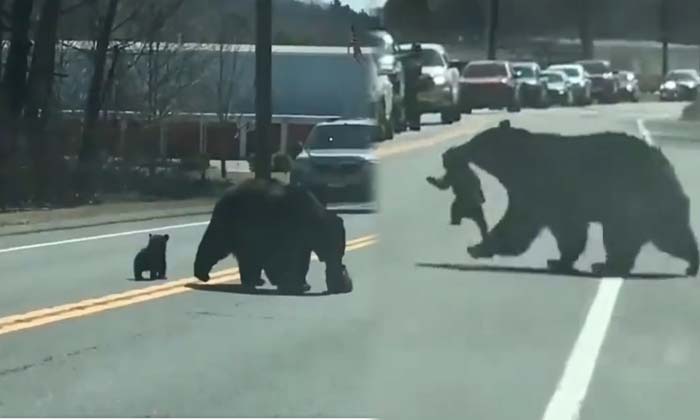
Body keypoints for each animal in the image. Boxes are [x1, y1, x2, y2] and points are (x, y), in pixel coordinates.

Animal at [194, 179, 352, 294]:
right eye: (338, 249)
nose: (340, 266)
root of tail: (224, 195)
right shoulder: (288, 227)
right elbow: (287, 257)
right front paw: (293, 283)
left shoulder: (301, 237)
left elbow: (298, 257)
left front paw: (297, 283)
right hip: (233, 221)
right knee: (217, 244)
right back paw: (204, 273)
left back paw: (255, 280)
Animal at [432, 120, 700, 278]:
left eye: (475, 141)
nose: (451, 152)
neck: (517, 163)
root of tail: (665, 165)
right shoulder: (553, 200)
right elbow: (567, 233)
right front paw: (559, 260)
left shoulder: (541, 188)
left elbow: (520, 223)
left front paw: (478, 247)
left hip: (635, 199)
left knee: (647, 236)